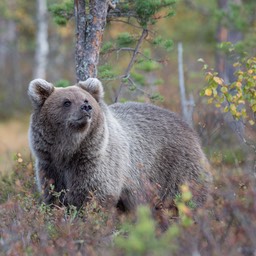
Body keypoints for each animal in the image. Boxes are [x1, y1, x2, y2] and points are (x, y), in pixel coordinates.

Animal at [28, 77, 212, 210]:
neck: (69, 151)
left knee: (190, 195)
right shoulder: (50, 165)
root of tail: (189, 128)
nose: (86, 107)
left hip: (176, 169)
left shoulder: (96, 164)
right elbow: (54, 196)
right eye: (67, 102)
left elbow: (95, 196)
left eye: (86, 99)